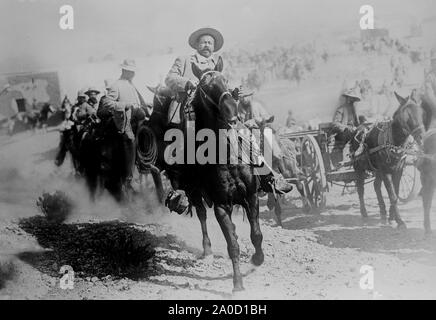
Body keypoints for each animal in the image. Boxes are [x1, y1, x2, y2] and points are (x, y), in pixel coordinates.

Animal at [138, 61, 264, 292]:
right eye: (206, 87)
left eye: (225, 80)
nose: (231, 110)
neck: (226, 155)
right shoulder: (221, 206)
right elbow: (232, 245)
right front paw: (237, 284)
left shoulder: (251, 196)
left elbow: (256, 235)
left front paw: (257, 259)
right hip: (193, 191)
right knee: (202, 215)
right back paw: (207, 251)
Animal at [352, 92, 424, 228]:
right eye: (407, 115)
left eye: (421, 112)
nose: (421, 137)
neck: (393, 142)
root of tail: (360, 126)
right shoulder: (386, 172)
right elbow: (392, 196)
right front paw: (400, 221)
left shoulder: (398, 170)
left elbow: (395, 192)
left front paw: (392, 217)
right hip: (359, 168)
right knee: (360, 189)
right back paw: (364, 212)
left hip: (378, 170)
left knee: (376, 186)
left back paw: (383, 212)